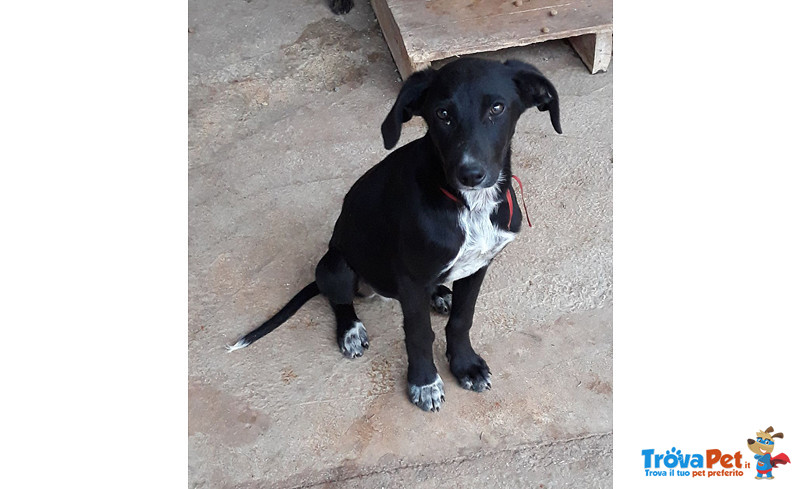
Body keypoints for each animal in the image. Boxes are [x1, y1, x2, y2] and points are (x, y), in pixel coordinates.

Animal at [228, 57, 560, 410]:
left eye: (497, 108)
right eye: (442, 114)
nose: (470, 174)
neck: (469, 205)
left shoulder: (479, 265)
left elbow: (462, 319)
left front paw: (465, 365)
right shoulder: (410, 278)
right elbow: (418, 334)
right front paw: (424, 383)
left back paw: (440, 294)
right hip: (335, 265)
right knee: (338, 297)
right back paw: (351, 331)